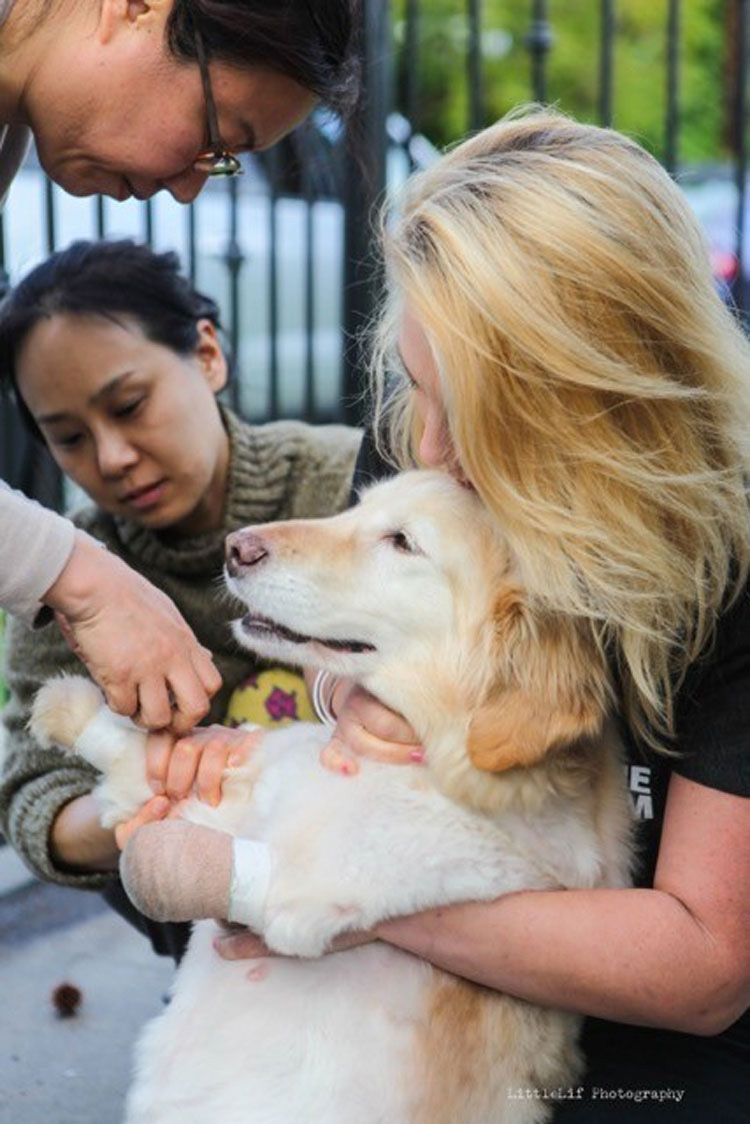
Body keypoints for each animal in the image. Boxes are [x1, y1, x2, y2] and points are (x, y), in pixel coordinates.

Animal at [32, 467, 638, 1124]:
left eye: (402, 541)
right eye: (357, 508)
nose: (236, 548)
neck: (409, 751)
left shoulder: (321, 879)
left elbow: (237, 865)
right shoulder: (234, 791)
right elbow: (144, 760)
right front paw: (68, 708)